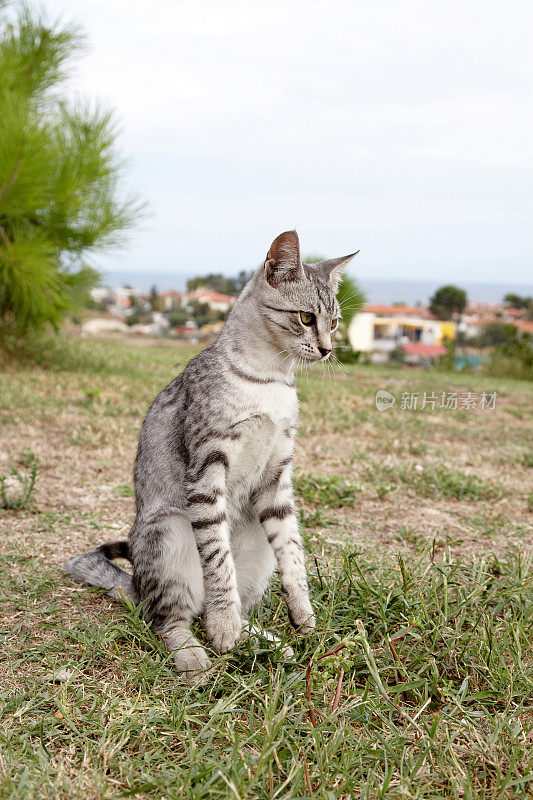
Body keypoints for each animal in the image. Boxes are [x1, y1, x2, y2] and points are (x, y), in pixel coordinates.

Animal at [65, 230, 358, 680]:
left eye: (335, 321)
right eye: (307, 318)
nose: (328, 349)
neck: (271, 379)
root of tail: (138, 587)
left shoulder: (277, 475)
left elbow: (293, 552)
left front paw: (303, 613)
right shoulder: (207, 466)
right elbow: (219, 561)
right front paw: (223, 627)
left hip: (257, 544)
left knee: (227, 604)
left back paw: (262, 639)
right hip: (168, 533)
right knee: (170, 618)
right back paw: (195, 654)